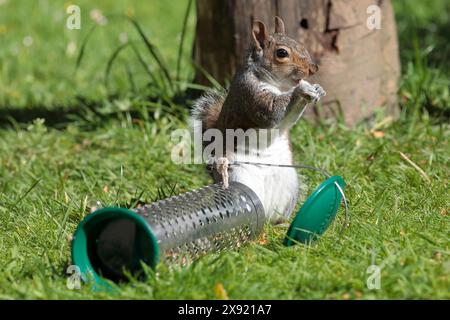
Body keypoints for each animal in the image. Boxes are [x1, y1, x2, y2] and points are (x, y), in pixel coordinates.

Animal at [192, 16, 326, 222]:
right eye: (281, 53)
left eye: (301, 44)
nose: (313, 69)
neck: (278, 85)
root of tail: (266, 212)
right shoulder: (251, 95)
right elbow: (271, 113)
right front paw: (301, 89)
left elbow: (288, 120)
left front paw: (317, 89)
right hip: (239, 178)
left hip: (289, 185)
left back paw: (280, 224)